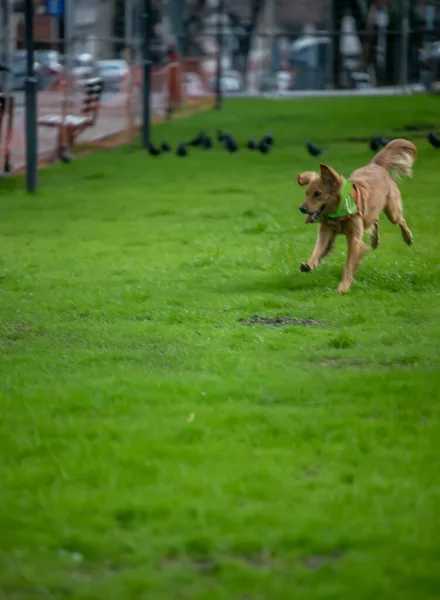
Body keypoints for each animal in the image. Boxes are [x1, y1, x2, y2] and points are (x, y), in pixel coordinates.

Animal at [296, 139, 416, 292]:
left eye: (317, 194)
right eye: (307, 193)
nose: (302, 209)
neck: (339, 212)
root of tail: (375, 165)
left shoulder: (354, 239)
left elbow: (349, 264)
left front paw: (343, 286)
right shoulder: (326, 231)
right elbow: (318, 250)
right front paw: (309, 264)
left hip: (392, 212)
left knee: (400, 220)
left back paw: (408, 237)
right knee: (375, 220)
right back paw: (375, 241)